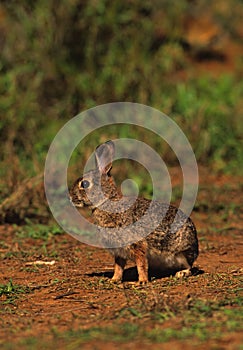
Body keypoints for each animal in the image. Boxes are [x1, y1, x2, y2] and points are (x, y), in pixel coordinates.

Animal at [69, 141, 198, 284]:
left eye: (85, 184)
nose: (70, 197)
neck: (107, 202)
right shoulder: (118, 251)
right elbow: (118, 266)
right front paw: (114, 280)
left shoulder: (137, 245)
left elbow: (141, 263)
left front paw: (141, 282)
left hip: (182, 252)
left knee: (190, 266)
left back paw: (181, 273)